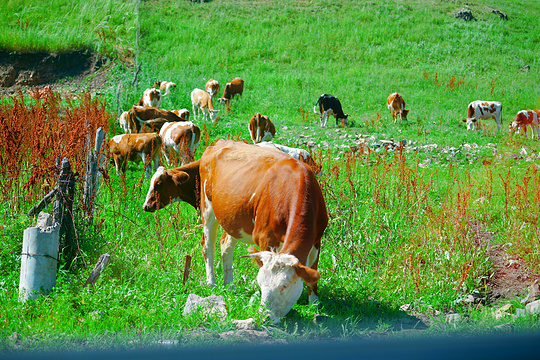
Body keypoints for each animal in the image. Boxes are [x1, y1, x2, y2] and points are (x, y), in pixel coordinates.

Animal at [143, 140, 326, 320]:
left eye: (284, 286)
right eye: (261, 284)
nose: (264, 317)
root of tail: (218, 143)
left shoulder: (317, 240)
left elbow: (313, 272)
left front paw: (314, 304)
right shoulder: (265, 237)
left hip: (233, 219)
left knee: (225, 244)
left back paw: (229, 285)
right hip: (208, 208)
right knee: (208, 245)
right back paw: (212, 283)